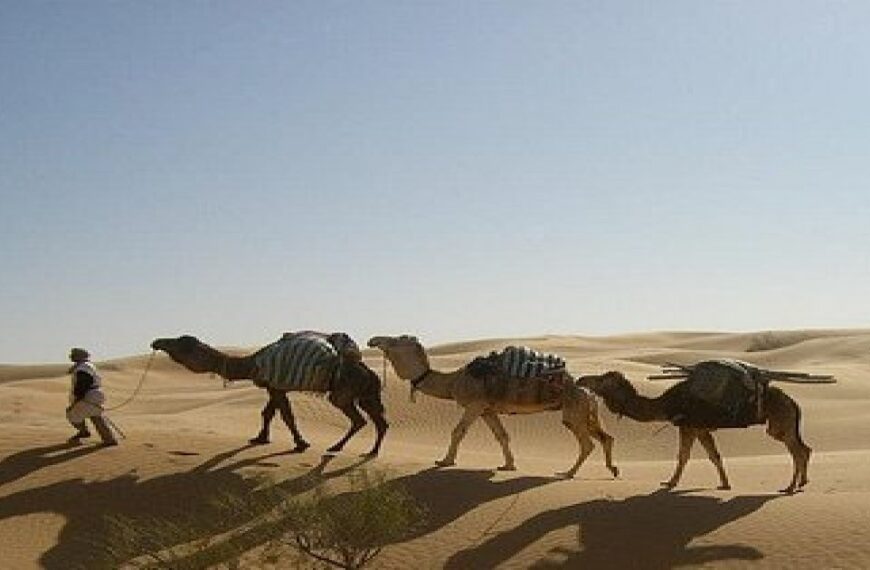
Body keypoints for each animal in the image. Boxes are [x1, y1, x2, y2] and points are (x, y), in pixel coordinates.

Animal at [153, 332, 388, 452]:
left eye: (182, 342)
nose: (157, 341)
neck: (250, 363)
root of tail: (369, 372)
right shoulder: (273, 387)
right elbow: (268, 413)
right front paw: (260, 438)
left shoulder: (275, 386)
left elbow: (286, 416)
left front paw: (301, 444)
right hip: (367, 393)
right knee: (379, 420)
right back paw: (372, 451)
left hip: (343, 391)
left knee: (359, 419)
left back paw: (336, 447)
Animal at [368, 336, 620, 478]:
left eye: (396, 340)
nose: (373, 340)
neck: (453, 381)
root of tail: (588, 392)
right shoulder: (487, 410)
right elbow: (502, 435)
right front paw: (508, 465)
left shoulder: (475, 404)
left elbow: (458, 431)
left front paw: (445, 461)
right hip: (585, 410)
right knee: (606, 437)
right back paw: (612, 469)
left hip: (573, 410)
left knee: (588, 443)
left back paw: (568, 472)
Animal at [580, 366, 816, 490]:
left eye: (602, 380)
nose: (582, 379)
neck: (666, 404)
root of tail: (794, 402)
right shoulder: (701, 429)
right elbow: (714, 456)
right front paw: (725, 484)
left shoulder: (688, 426)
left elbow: (683, 456)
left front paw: (670, 483)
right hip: (785, 422)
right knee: (804, 449)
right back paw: (801, 482)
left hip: (780, 422)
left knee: (797, 450)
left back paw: (790, 487)